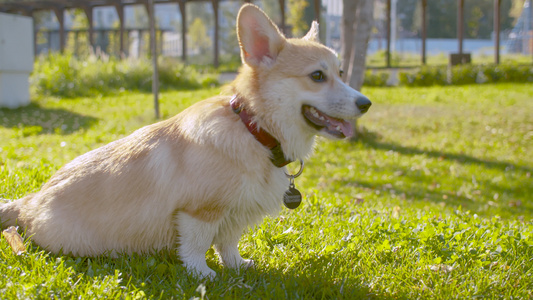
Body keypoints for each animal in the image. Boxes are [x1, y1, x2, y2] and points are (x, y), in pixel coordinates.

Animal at [1, 4, 370, 278]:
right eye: (317, 76)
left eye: (341, 73)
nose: (365, 104)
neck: (254, 130)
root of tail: (28, 203)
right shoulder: (200, 212)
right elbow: (196, 247)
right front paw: (203, 275)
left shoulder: (234, 214)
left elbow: (228, 244)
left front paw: (238, 266)